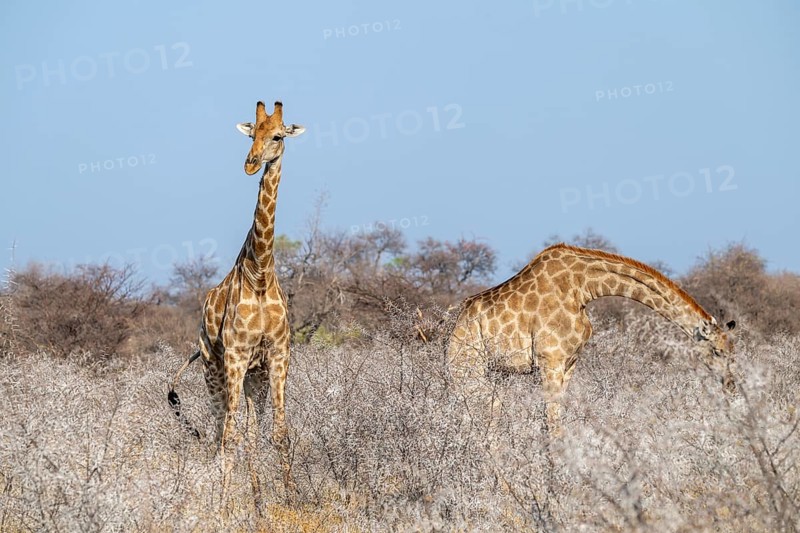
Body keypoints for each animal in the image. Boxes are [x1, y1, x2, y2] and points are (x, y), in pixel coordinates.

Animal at [168, 101, 305, 498]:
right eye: (252, 134)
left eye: (277, 136)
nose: (250, 163)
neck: (259, 275)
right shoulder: (235, 357)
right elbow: (230, 438)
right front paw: (226, 503)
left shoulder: (277, 357)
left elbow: (278, 434)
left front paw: (292, 499)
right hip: (214, 370)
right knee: (221, 435)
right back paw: (227, 496)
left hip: (252, 378)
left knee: (248, 433)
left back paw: (258, 499)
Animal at [447, 243, 736, 436]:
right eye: (718, 351)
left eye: (734, 352)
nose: (731, 386)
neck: (584, 288)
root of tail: (453, 328)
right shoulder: (549, 361)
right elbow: (552, 425)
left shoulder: (570, 363)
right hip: (467, 370)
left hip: (496, 373)